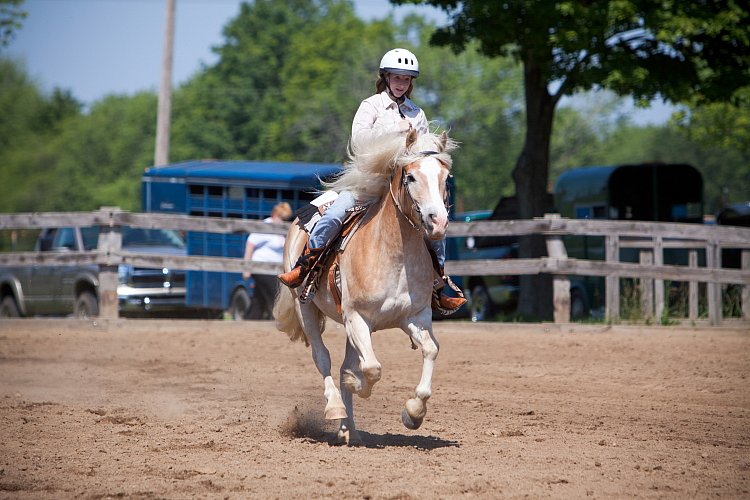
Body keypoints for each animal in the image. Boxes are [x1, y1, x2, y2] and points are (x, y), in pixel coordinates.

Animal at [272, 128, 458, 446]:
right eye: (410, 177)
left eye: (445, 177)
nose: (438, 222)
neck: (394, 254)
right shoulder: (357, 317)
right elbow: (370, 369)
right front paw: (355, 385)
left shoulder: (414, 317)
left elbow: (430, 350)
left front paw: (413, 413)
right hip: (306, 307)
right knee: (322, 358)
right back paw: (335, 408)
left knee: (344, 363)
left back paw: (350, 431)